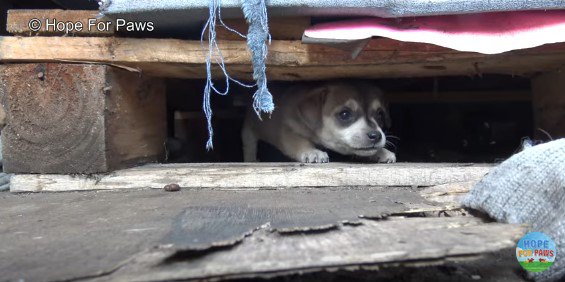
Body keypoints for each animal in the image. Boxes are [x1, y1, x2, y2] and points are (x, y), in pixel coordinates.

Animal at [240, 81, 394, 163]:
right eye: (345, 114)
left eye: (380, 115)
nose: (375, 136)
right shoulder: (287, 131)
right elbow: (299, 142)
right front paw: (312, 152)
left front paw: (382, 152)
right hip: (249, 131)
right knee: (249, 145)